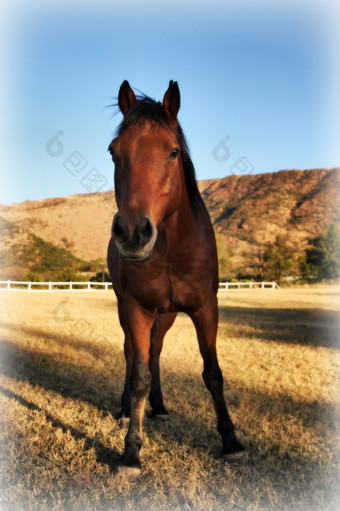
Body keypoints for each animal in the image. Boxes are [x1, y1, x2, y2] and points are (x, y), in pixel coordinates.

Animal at [107, 80, 243, 476]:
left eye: (173, 151)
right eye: (113, 152)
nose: (133, 232)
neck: (170, 249)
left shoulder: (206, 308)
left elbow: (213, 373)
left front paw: (231, 441)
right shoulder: (137, 309)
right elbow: (138, 374)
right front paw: (131, 451)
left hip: (166, 315)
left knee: (154, 352)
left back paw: (161, 406)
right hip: (127, 309)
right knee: (133, 354)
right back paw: (127, 410)